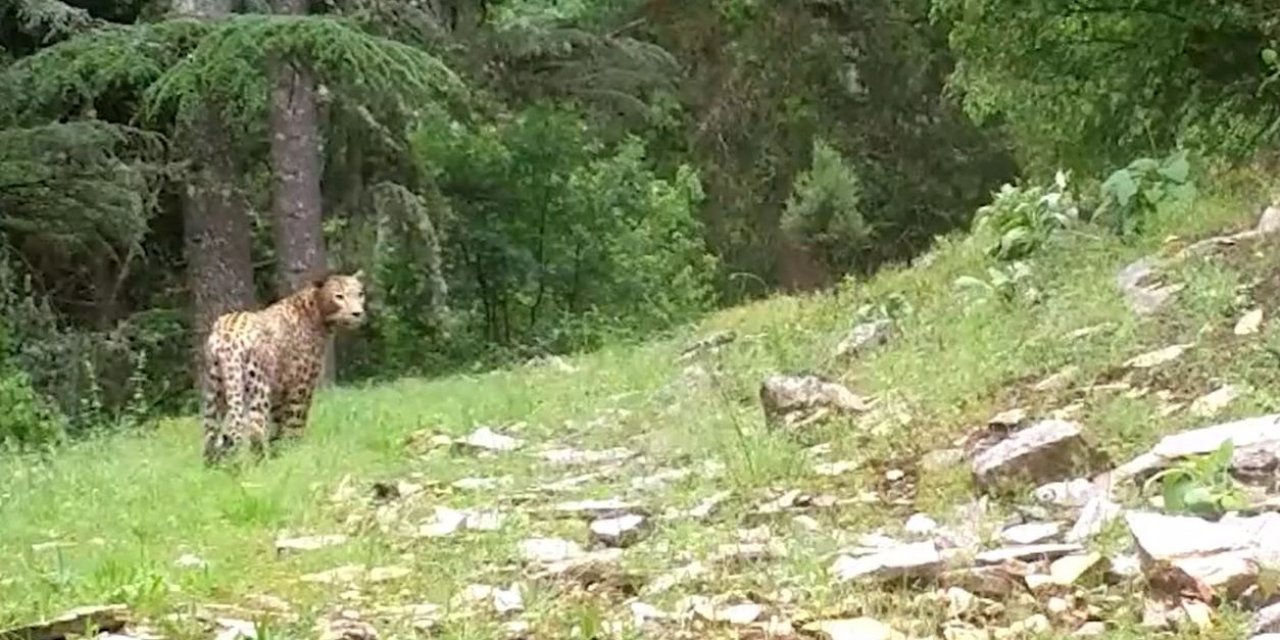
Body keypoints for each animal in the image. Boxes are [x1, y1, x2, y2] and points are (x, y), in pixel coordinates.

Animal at [199, 270, 368, 465]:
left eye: (360, 294)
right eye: (339, 296)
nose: (357, 313)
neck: (317, 312)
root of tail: (226, 334)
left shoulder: (279, 392)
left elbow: (277, 428)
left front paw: (279, 454)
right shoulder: (301, 388)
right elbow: (295, 425)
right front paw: (296, 454)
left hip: (215, 392)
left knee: (210, 433)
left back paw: (212, 468)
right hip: (258, 390)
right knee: (255, 430)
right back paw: (260, 465)